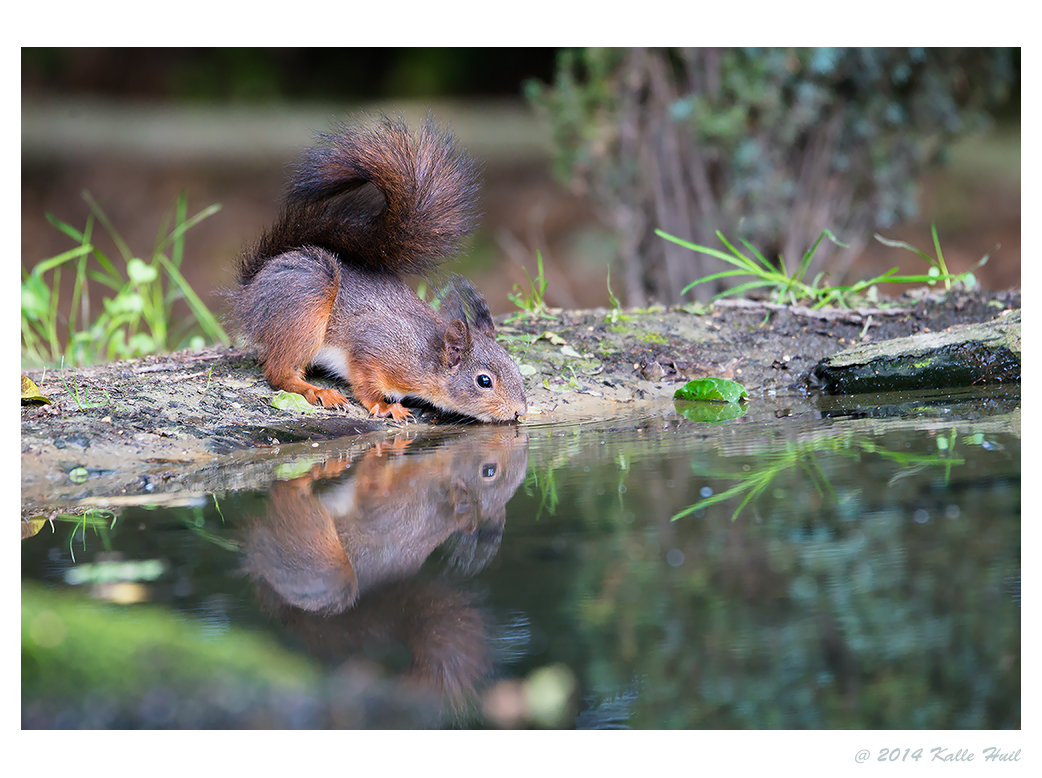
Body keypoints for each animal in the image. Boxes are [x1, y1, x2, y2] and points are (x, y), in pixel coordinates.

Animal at [236, 114, 529, 427]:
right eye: (484, 381)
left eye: (514, 366)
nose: (519, 411)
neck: (424, 357)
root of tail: (251, 286)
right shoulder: (373, 349)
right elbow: (365, 383)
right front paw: (385, 406)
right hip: (305, 307)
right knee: (279, 372)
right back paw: (318, 391)